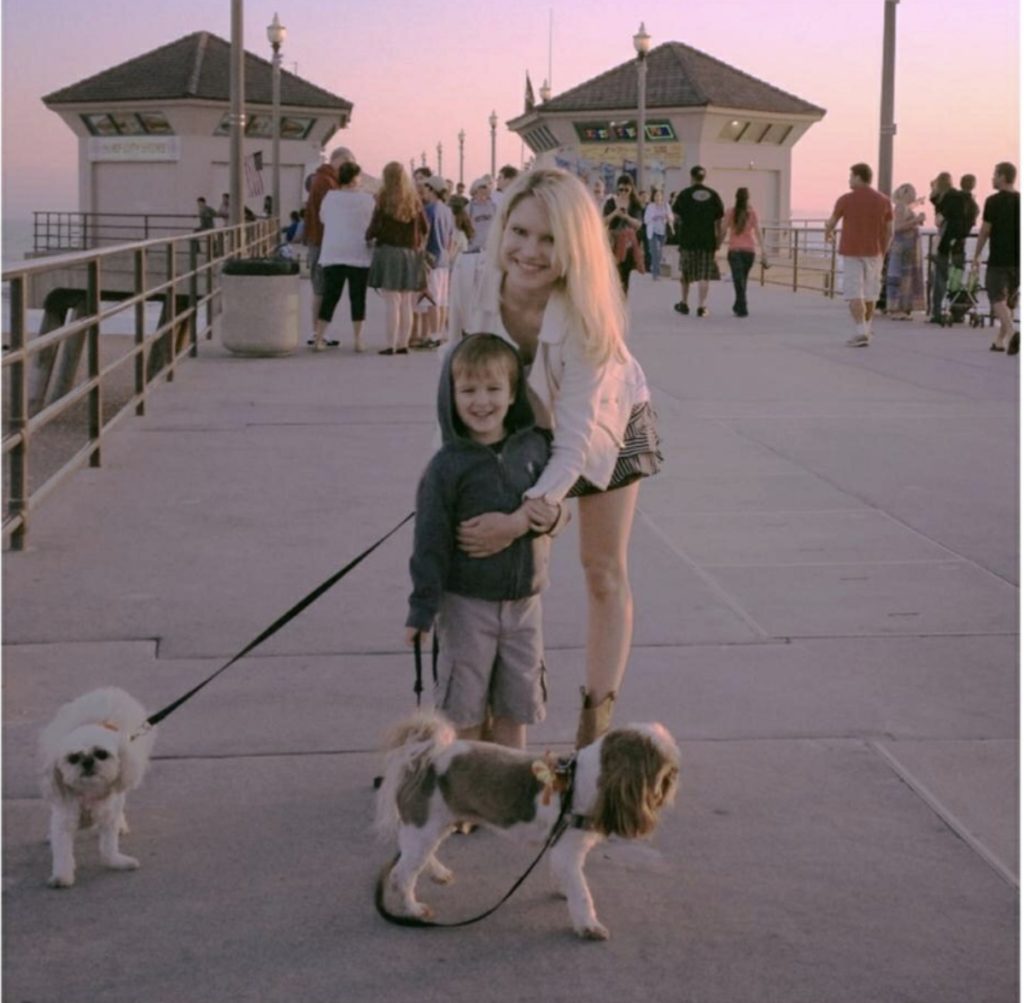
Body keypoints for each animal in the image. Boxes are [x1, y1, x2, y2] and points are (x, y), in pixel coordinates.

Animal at [38, 688, 155, 885]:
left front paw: (116, 861)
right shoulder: (63, 822)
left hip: (118, 796)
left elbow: (109, 847)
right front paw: (62, 877)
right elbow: (63, 852)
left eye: (102, 754)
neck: (88, 793)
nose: (87, 762)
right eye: (73, 758)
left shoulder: (108, 819)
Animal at [376, 708, 679, 938]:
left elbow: (566, 878)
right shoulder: (568, 852)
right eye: (664, 770)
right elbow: (582, 893)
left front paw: (563, 889)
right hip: (423, 829)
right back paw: (413, 909)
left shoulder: (559, 846)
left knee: (421, 857)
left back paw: (438, 872)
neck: (583, 781)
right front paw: (588, 925)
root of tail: (425, 756)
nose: (676, 774)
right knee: (402, 875)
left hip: (436, 825)